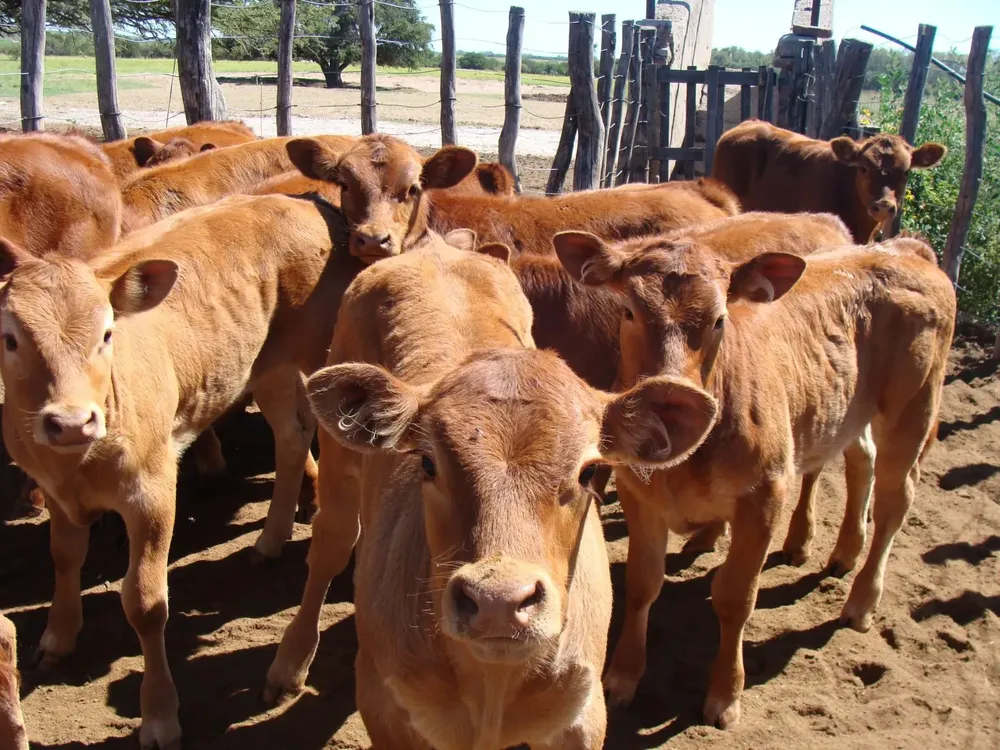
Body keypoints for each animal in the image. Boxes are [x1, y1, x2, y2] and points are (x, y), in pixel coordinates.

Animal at [266, 244, 720, 748]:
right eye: (427, 463)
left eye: (589, 471)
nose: (498, 602)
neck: (491, 688)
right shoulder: (384, 708)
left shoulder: (582, 716)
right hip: (339, 463)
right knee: (331, 545)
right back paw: (289, 663)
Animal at [556, 234, 952, 728]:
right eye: (628, 310)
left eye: (720, 319)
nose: (671, 397)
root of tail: (903, 248)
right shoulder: (639, 494)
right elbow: (643, 585)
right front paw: (624, 677)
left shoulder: (764, 496)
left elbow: (735, 597)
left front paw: (725, 695)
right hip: (851, 410)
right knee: (862, 460)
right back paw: (844, 551)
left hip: (912, 411)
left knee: (895, 503)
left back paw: (861, 600)